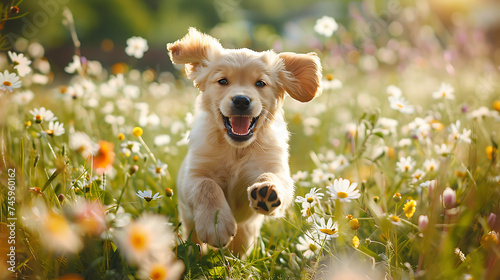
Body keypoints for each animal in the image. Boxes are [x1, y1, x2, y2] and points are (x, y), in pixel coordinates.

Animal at [167, 27, 320, 256]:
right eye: (223, 81)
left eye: (260, 83)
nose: (241, 100)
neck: (236, 149)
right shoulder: (191, 176)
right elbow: (207, 185)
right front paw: (216, 224)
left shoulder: (275, 169)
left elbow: (274, 178)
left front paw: (267, 190)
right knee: (194, 240)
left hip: (246, 234)